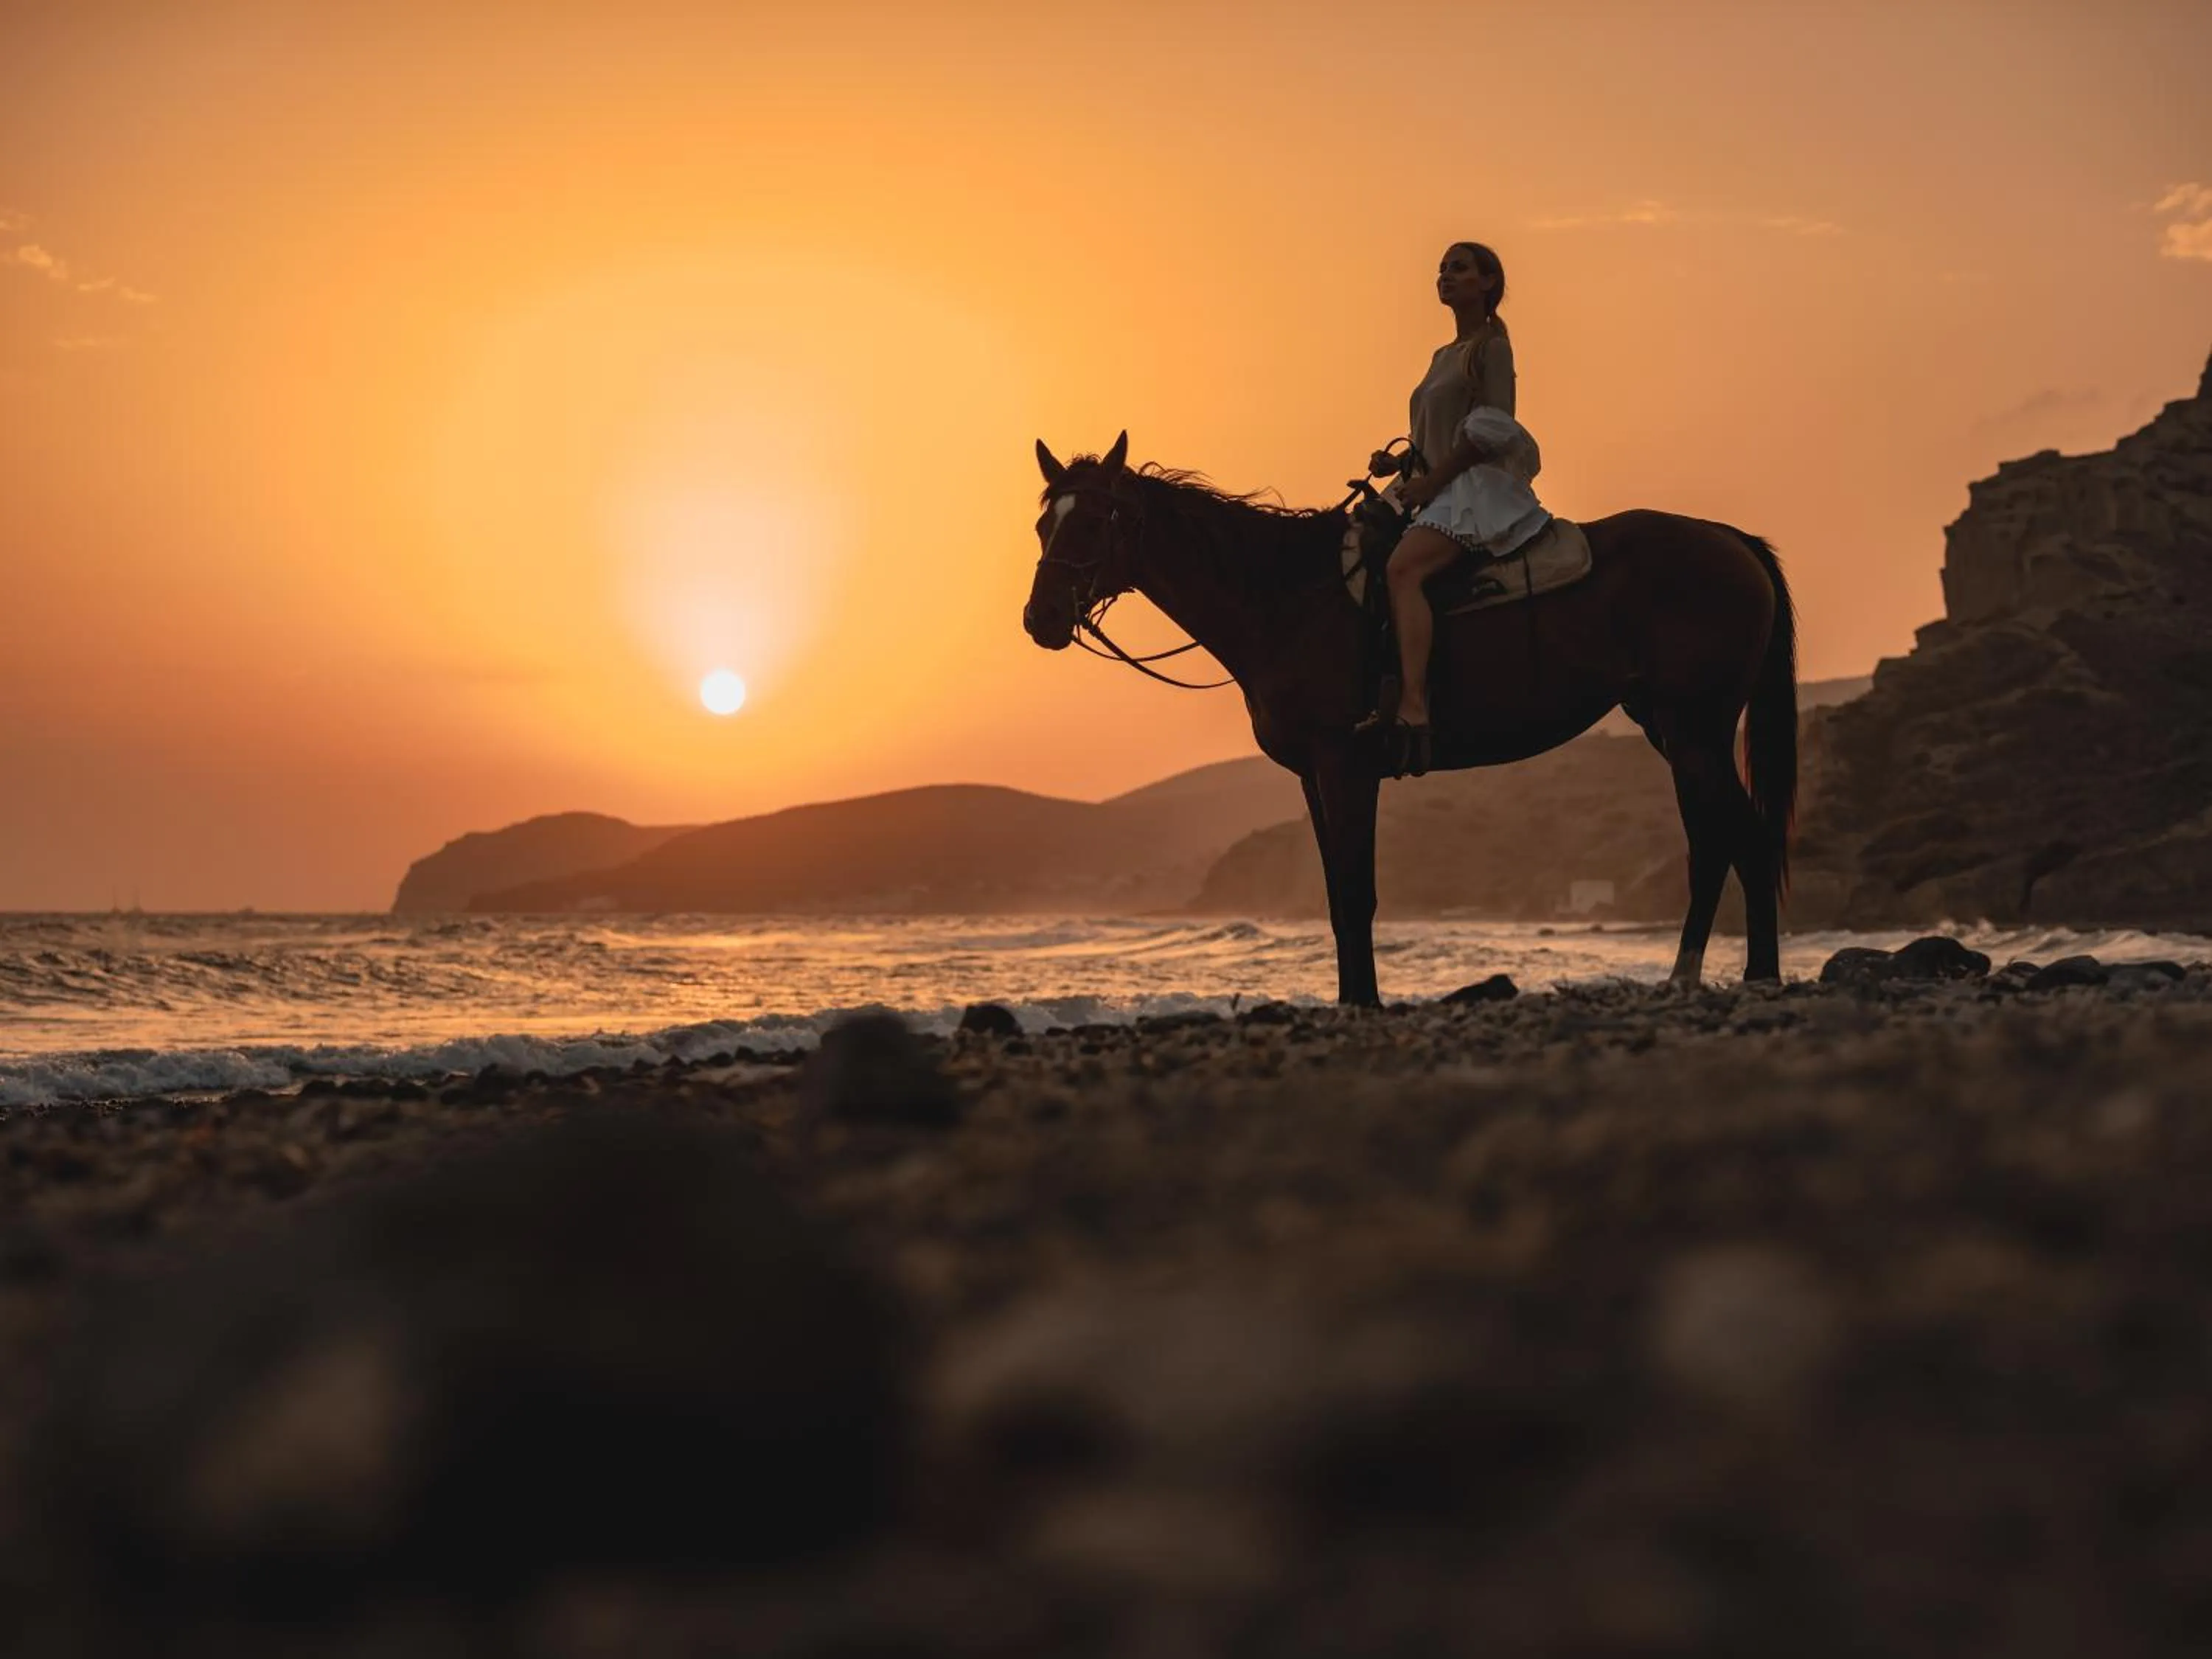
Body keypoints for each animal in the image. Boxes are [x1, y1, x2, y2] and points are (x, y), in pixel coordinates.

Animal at [1022, 432, 1798, 1006]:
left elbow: (1356, 890)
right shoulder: (1312, 774)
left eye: (1093, 520)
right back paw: (1713, 976)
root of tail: (1731, 541)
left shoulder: (1345, 764)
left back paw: (1735, 975)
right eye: (1043, 523)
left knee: (1734, 838)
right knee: (1725, 839)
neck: (1285, 598)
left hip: (1693, 728)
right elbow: (1336, 894)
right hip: (1672, 727)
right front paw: (1349, 999)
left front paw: (1363, 1003)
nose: (1042, 618)